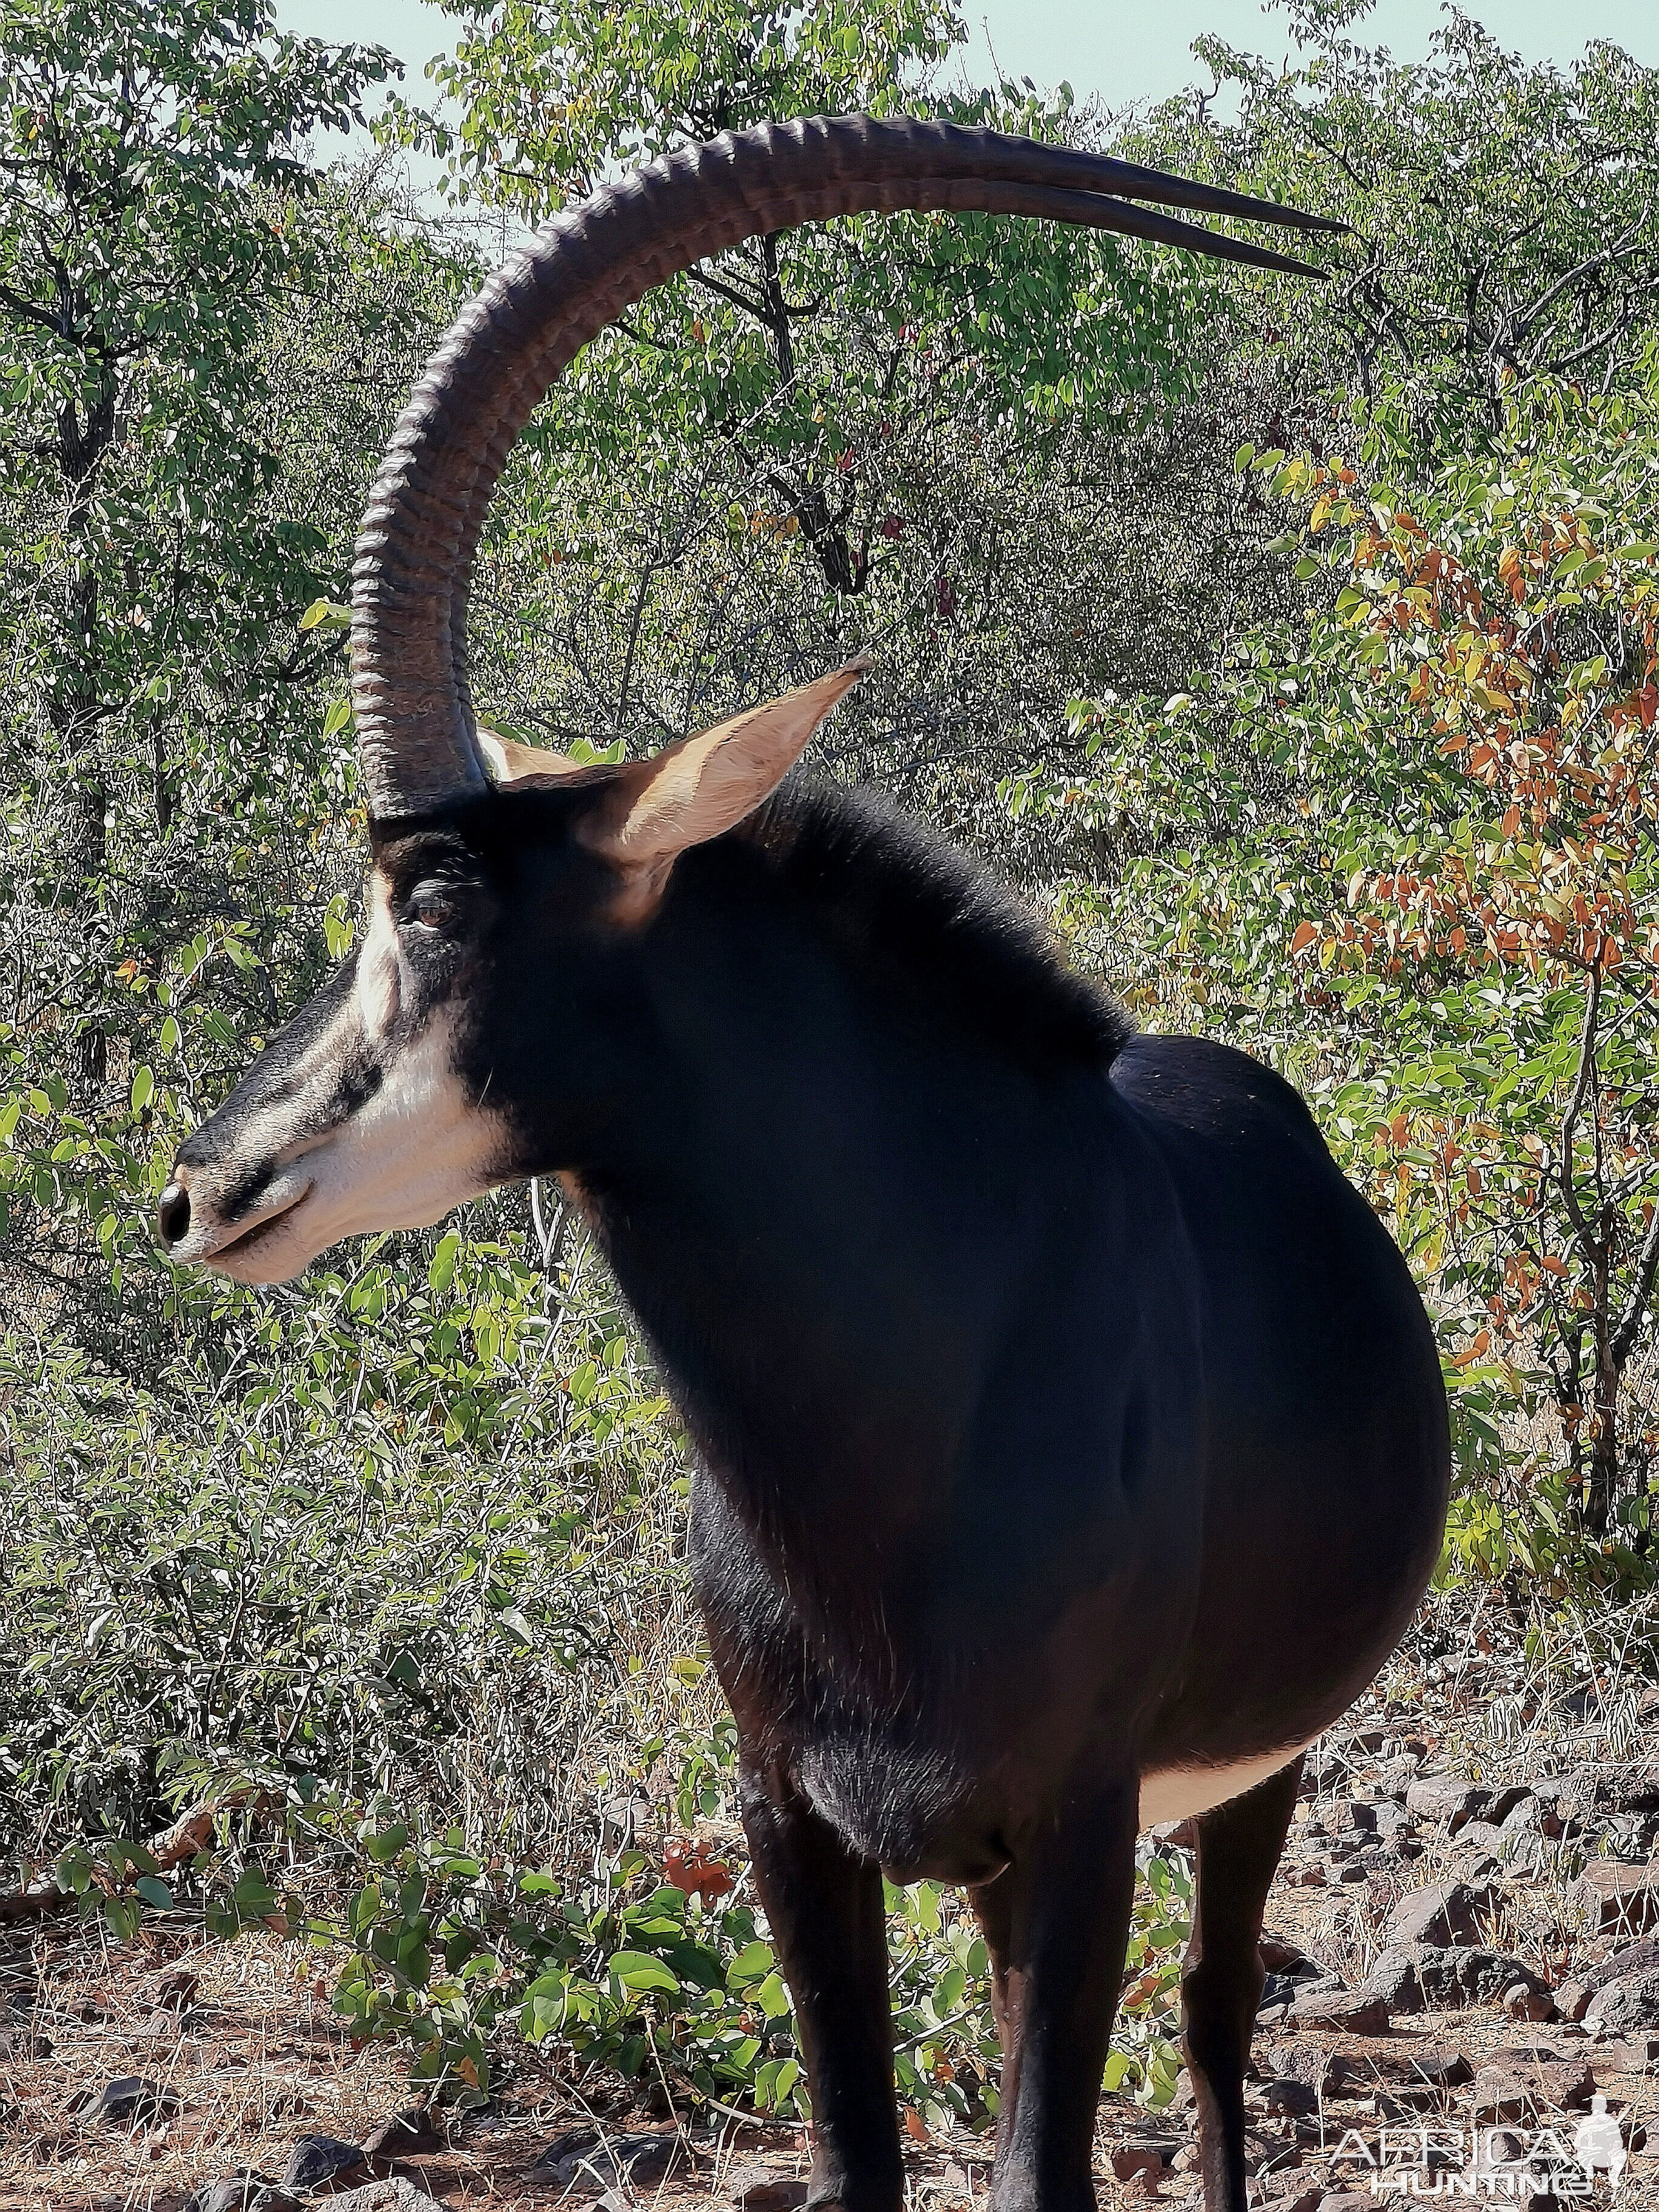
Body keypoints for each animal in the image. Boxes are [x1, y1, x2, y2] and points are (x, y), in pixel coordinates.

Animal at [163, 126, 1451, 2212]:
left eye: (434, 896)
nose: (205, 1192)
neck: (916, 1416)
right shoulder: (793, 1824)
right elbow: (860, 2158)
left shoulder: (1084, 1820)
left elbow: (1044, 2163)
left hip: (1250, 1781)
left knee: (1216, 2030)